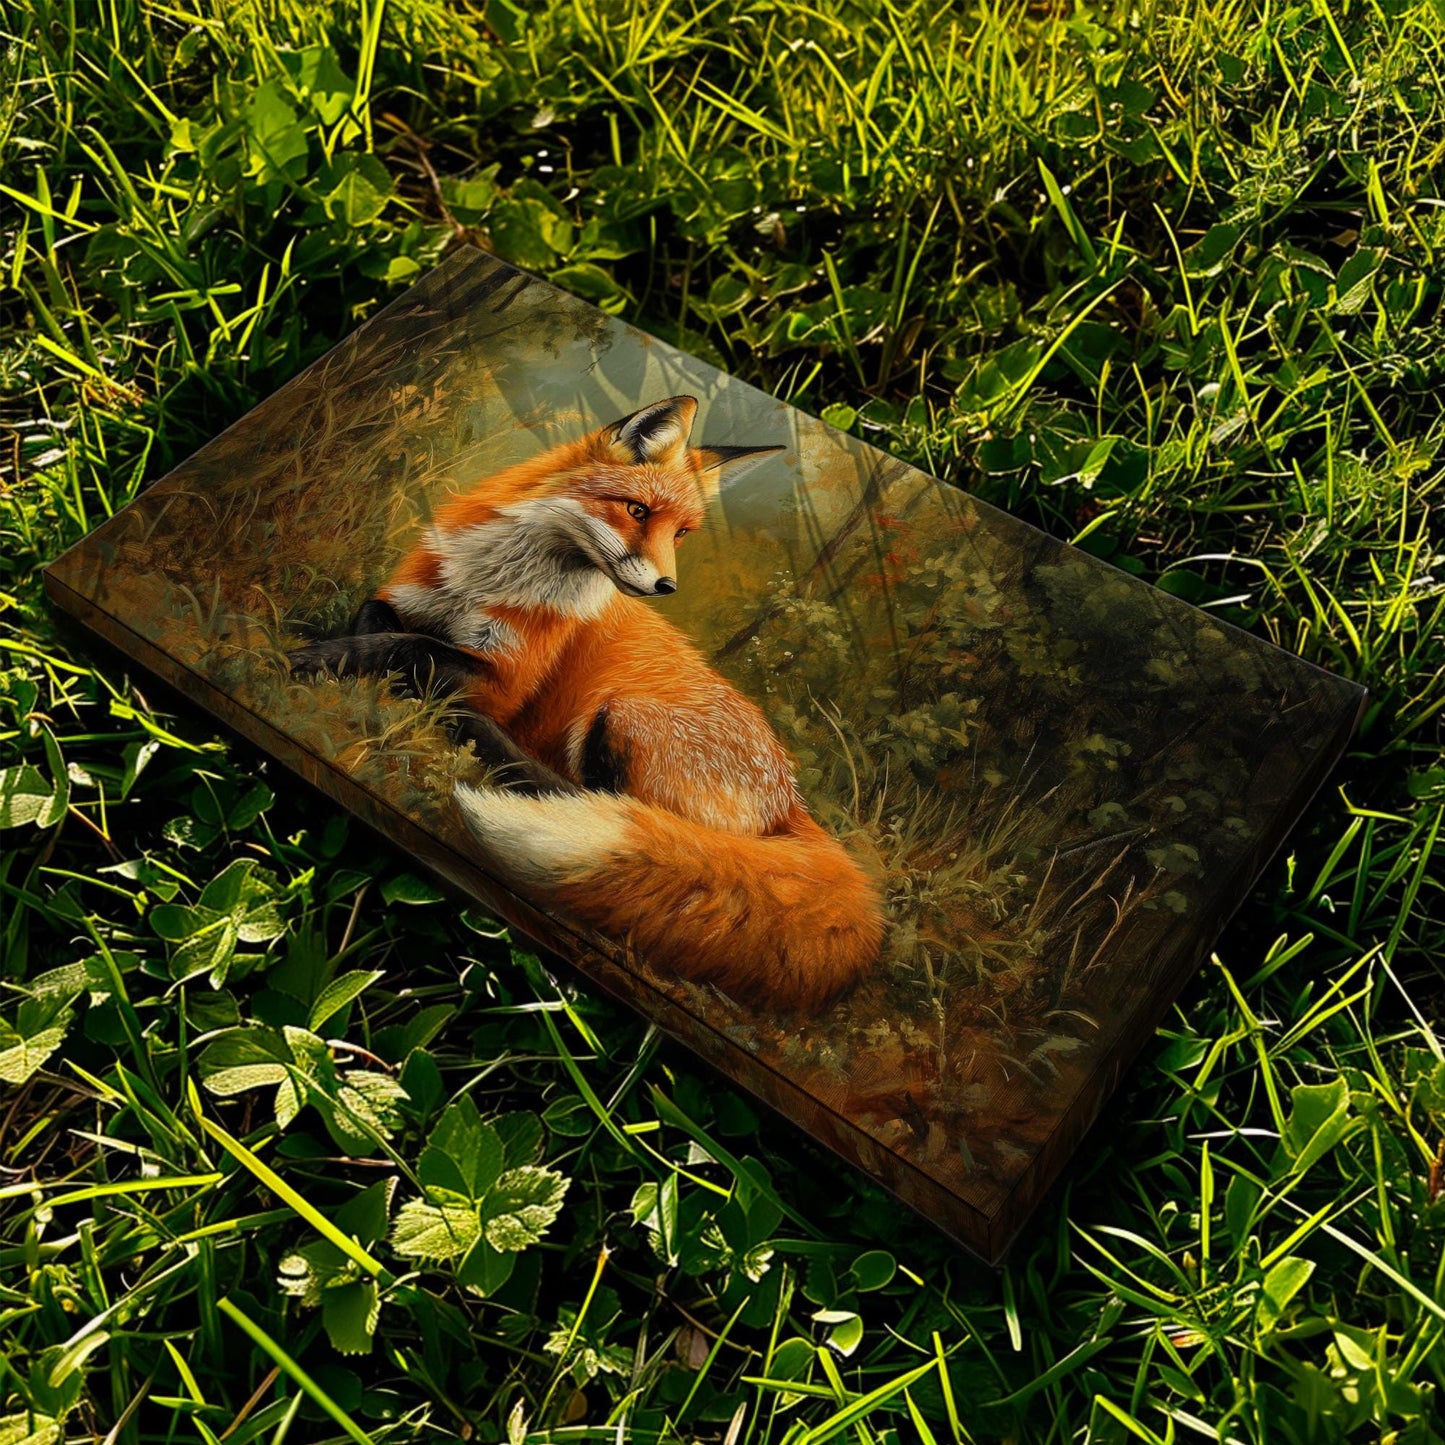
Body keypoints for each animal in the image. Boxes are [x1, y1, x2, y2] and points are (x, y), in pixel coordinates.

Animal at [290, 395, 885, 1009]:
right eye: (637, 510)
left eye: (683, 534)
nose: (667, 587)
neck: (488, 584)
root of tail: (790, 801)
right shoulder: (404, 599)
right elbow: (378, 625)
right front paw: (346, 667)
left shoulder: (502, 682)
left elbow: (405, 648)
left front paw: (323, 663)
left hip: (623, 714)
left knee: (586, 792)